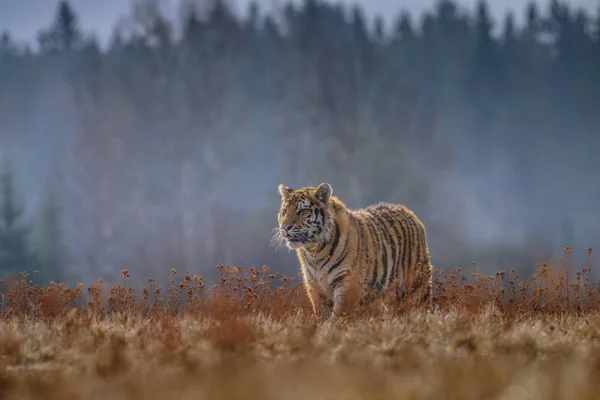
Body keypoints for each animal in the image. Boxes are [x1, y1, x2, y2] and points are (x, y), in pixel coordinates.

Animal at [270, 184, 432, 318]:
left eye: (303, 211)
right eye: (284, 211)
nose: (285, 227)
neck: (315, 251)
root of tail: (410, 213)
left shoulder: (347, 285)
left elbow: (337, 317)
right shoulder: (314, 287)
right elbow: (320, 315)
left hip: (417, 287)